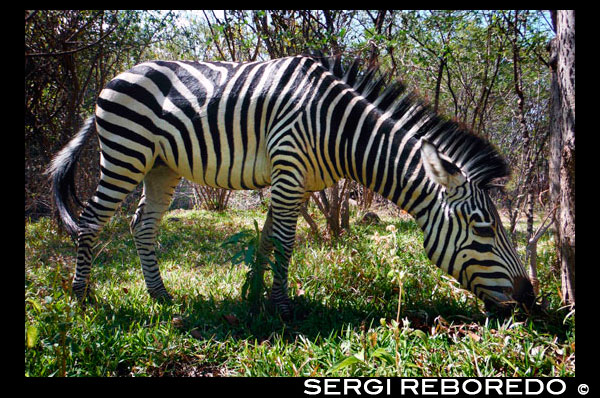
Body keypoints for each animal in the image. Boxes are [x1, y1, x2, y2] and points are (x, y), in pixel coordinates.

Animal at [47, 52, 536, 318]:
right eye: (484, 229)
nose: (530, 298)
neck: (339, 130)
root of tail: (116, 77)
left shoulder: (298, 182)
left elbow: (267, 239)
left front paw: (253, 298)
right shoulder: (288, 168)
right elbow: (285, 241)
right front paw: (282, 309)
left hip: (161, 165)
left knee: (143, 226)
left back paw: (160, 296)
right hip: (125, 153)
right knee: (90, 219)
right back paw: (82, 297)